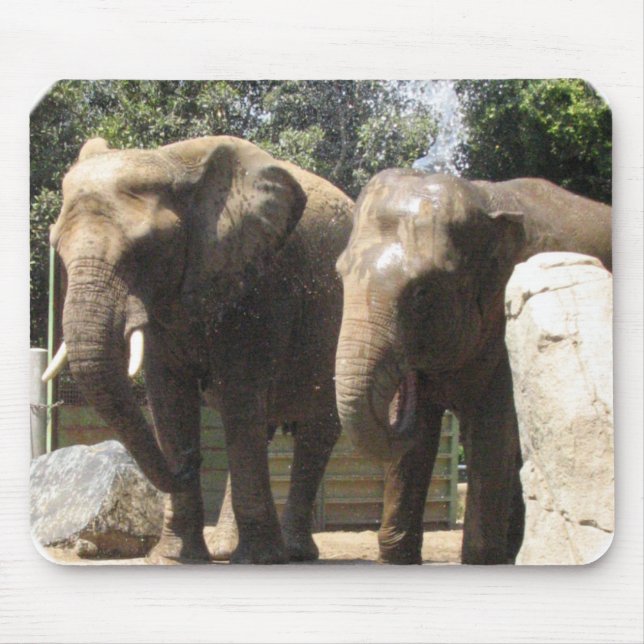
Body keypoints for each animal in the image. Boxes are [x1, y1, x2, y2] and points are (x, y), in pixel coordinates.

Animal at [43, 135, 353, 564]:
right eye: (56, 247)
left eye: (146, 248)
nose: (193, 462)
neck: (170, 162)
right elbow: (169, 400)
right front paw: (176, 558)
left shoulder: (262, 284)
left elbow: (240, 397)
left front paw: (260, 560)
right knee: (261, 429)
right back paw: (226, 550)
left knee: (313, 430)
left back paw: (293, 552)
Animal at [334, 169, 611, 565]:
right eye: (340, 275)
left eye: (422, 292)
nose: (409, 371)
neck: (487, 200)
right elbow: (418, 444)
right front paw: (398, 558)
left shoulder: (505, 331)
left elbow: (491, 429)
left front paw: (481, 559)